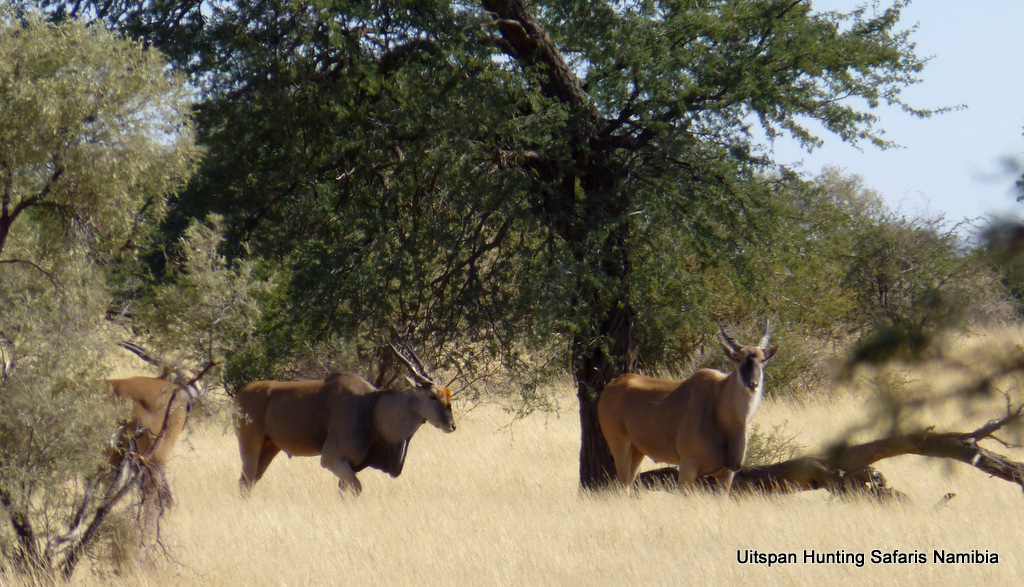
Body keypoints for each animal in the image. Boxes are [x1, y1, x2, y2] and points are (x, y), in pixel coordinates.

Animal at [235, 344, 456, 493]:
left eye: (449, 395)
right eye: (433, 396)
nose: (451, 425)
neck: (371, 407)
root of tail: (242, 393)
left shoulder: (349, 465)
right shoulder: (332, 459)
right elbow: (356, 488)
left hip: (269, 447)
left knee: (249, 482)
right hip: (250, 445)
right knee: (245, 481)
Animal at [598, 319, 774, 493]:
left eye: (762, 360)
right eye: (738, 359)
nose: (753, 384)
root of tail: (610, 386)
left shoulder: (726, 475)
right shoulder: (688, 468)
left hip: (637, 451)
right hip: (620, 446)